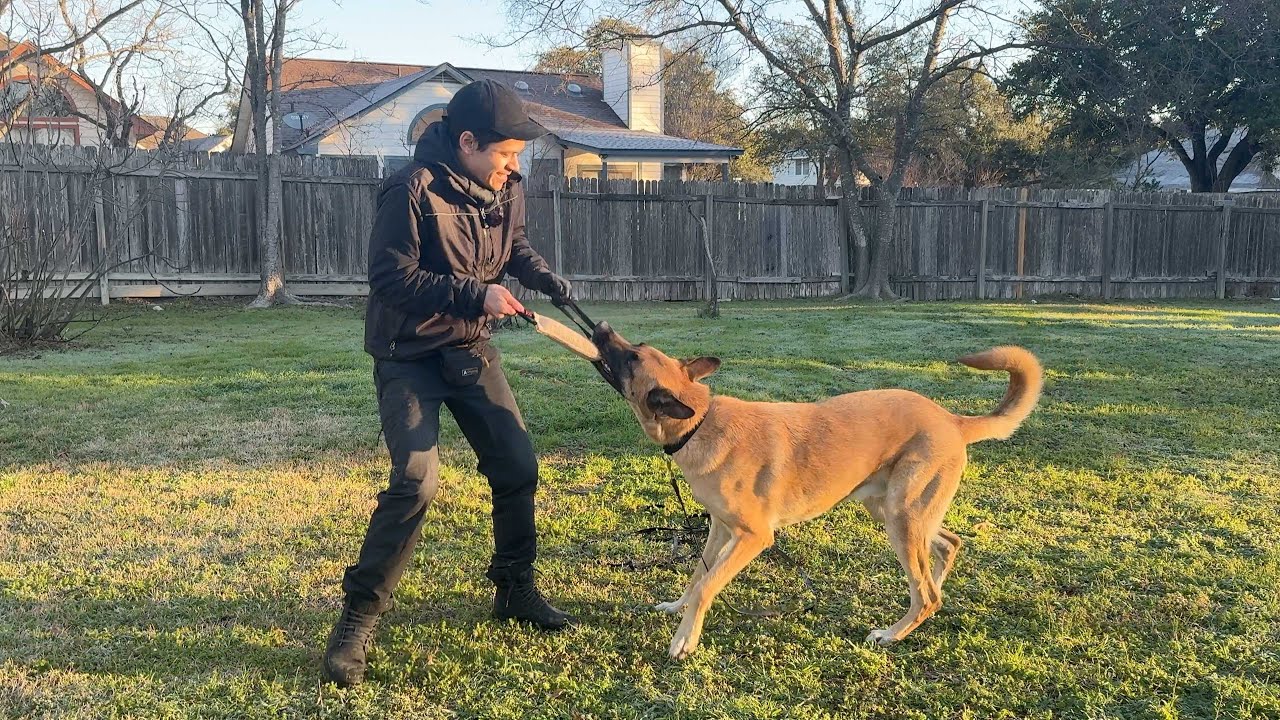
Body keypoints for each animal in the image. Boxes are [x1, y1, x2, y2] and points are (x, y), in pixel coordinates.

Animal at [588, 322, 1039, 661]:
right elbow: (698, 574)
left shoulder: (753, 537)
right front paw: (676, 608)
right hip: (894, 510)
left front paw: (685, 639)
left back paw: (893, 633)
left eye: (633, 357)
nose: (603, 326)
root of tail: (952, 419)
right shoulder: (720, 529)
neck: (700, 421)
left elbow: (706, 585)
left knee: (926, 593)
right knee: (946, 548)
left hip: (901, 516)